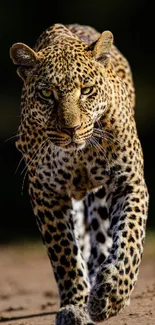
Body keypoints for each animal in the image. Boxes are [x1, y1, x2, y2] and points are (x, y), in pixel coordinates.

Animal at [10, 23, 149, 324]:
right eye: (47, 94)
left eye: (86, 90)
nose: (71, 129)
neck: (79, 153)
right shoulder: (46, 192)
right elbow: (65, 254)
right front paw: (74, 305)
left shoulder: (128, 181)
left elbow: (130, 239)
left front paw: (112, 293)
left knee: (103, 237)